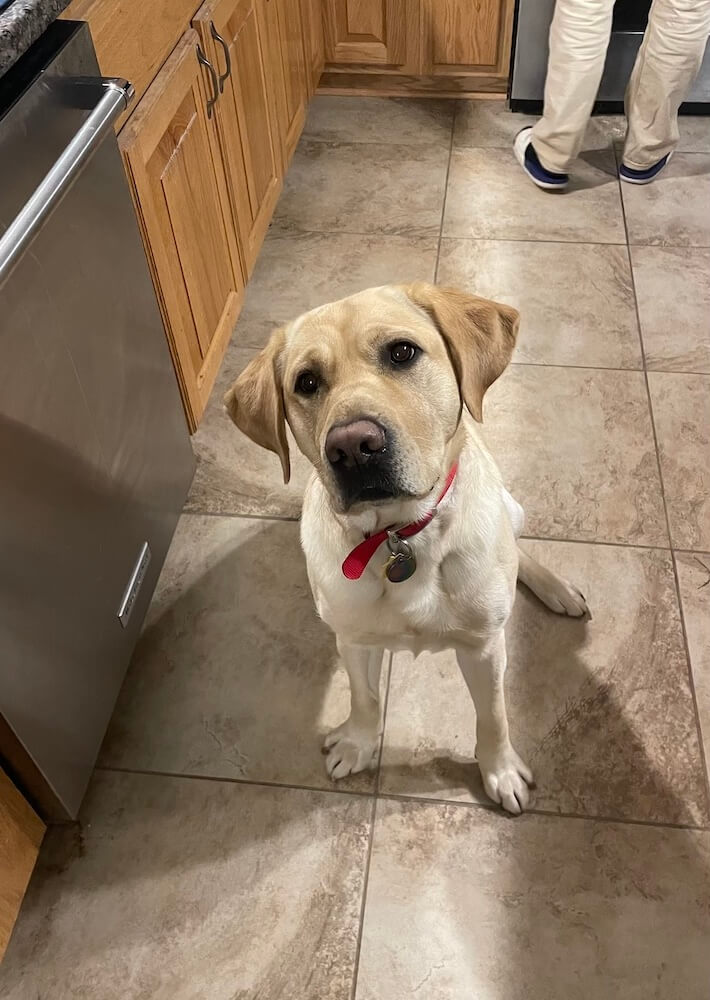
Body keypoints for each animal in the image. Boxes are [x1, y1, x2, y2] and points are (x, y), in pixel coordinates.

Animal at [224, 282, 588, 812]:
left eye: (401, 352)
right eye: (307, 382)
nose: (352, 447)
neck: (400, 536)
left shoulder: (484, 647)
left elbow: (494, 715)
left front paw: (500, 771)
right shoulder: (353, 640)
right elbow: (364, 697)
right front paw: (357, 743)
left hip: (510, 510)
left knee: (521, 551)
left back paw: (557, 589)